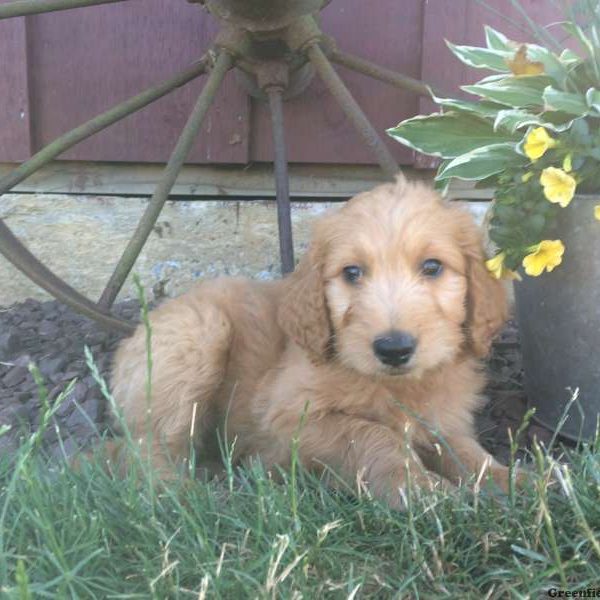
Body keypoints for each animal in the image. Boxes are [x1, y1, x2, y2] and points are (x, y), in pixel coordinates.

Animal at [110, 177, 508, 506]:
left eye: (432, 267)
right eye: (352, 272)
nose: (394, 349)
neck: (399, 387)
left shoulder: (443, 419)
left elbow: (463, 450)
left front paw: (505, 480)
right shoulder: (288, 420)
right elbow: (372, 434)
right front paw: (419, 489)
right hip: (198, 334)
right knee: (146, 447)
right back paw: (181, 492)